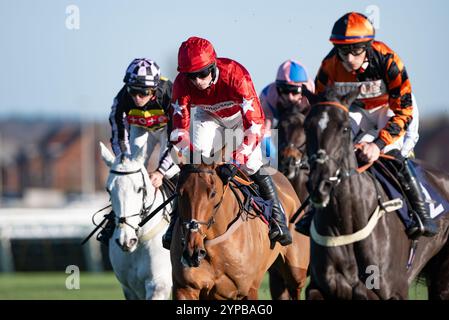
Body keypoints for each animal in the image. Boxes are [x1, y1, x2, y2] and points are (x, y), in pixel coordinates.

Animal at [170, 162, 306, 300]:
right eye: (179, 193)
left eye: (213, 193)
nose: (192, 252)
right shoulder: (185, 288)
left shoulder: (247, 290)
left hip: (296, 272)